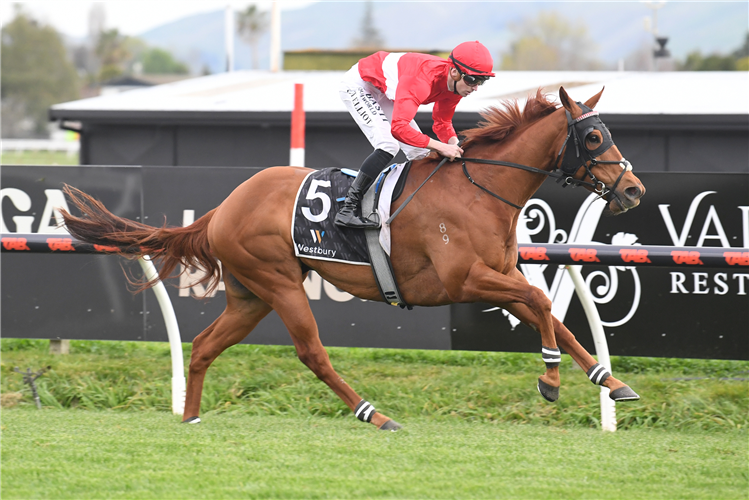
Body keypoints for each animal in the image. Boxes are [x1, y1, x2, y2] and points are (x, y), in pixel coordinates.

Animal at [61, 87, 644, 430]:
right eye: (595, 136)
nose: (634, 190)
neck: (479, 188)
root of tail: (223, 208)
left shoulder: (497, 273)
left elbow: (551, 314)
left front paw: (610, 381)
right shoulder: (465, 279)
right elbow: (542, 304)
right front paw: (550, 381)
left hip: (250, 296)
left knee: (204, 345)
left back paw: (190, 418)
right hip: (281, 285)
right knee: (312, 353)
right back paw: (374, 414)